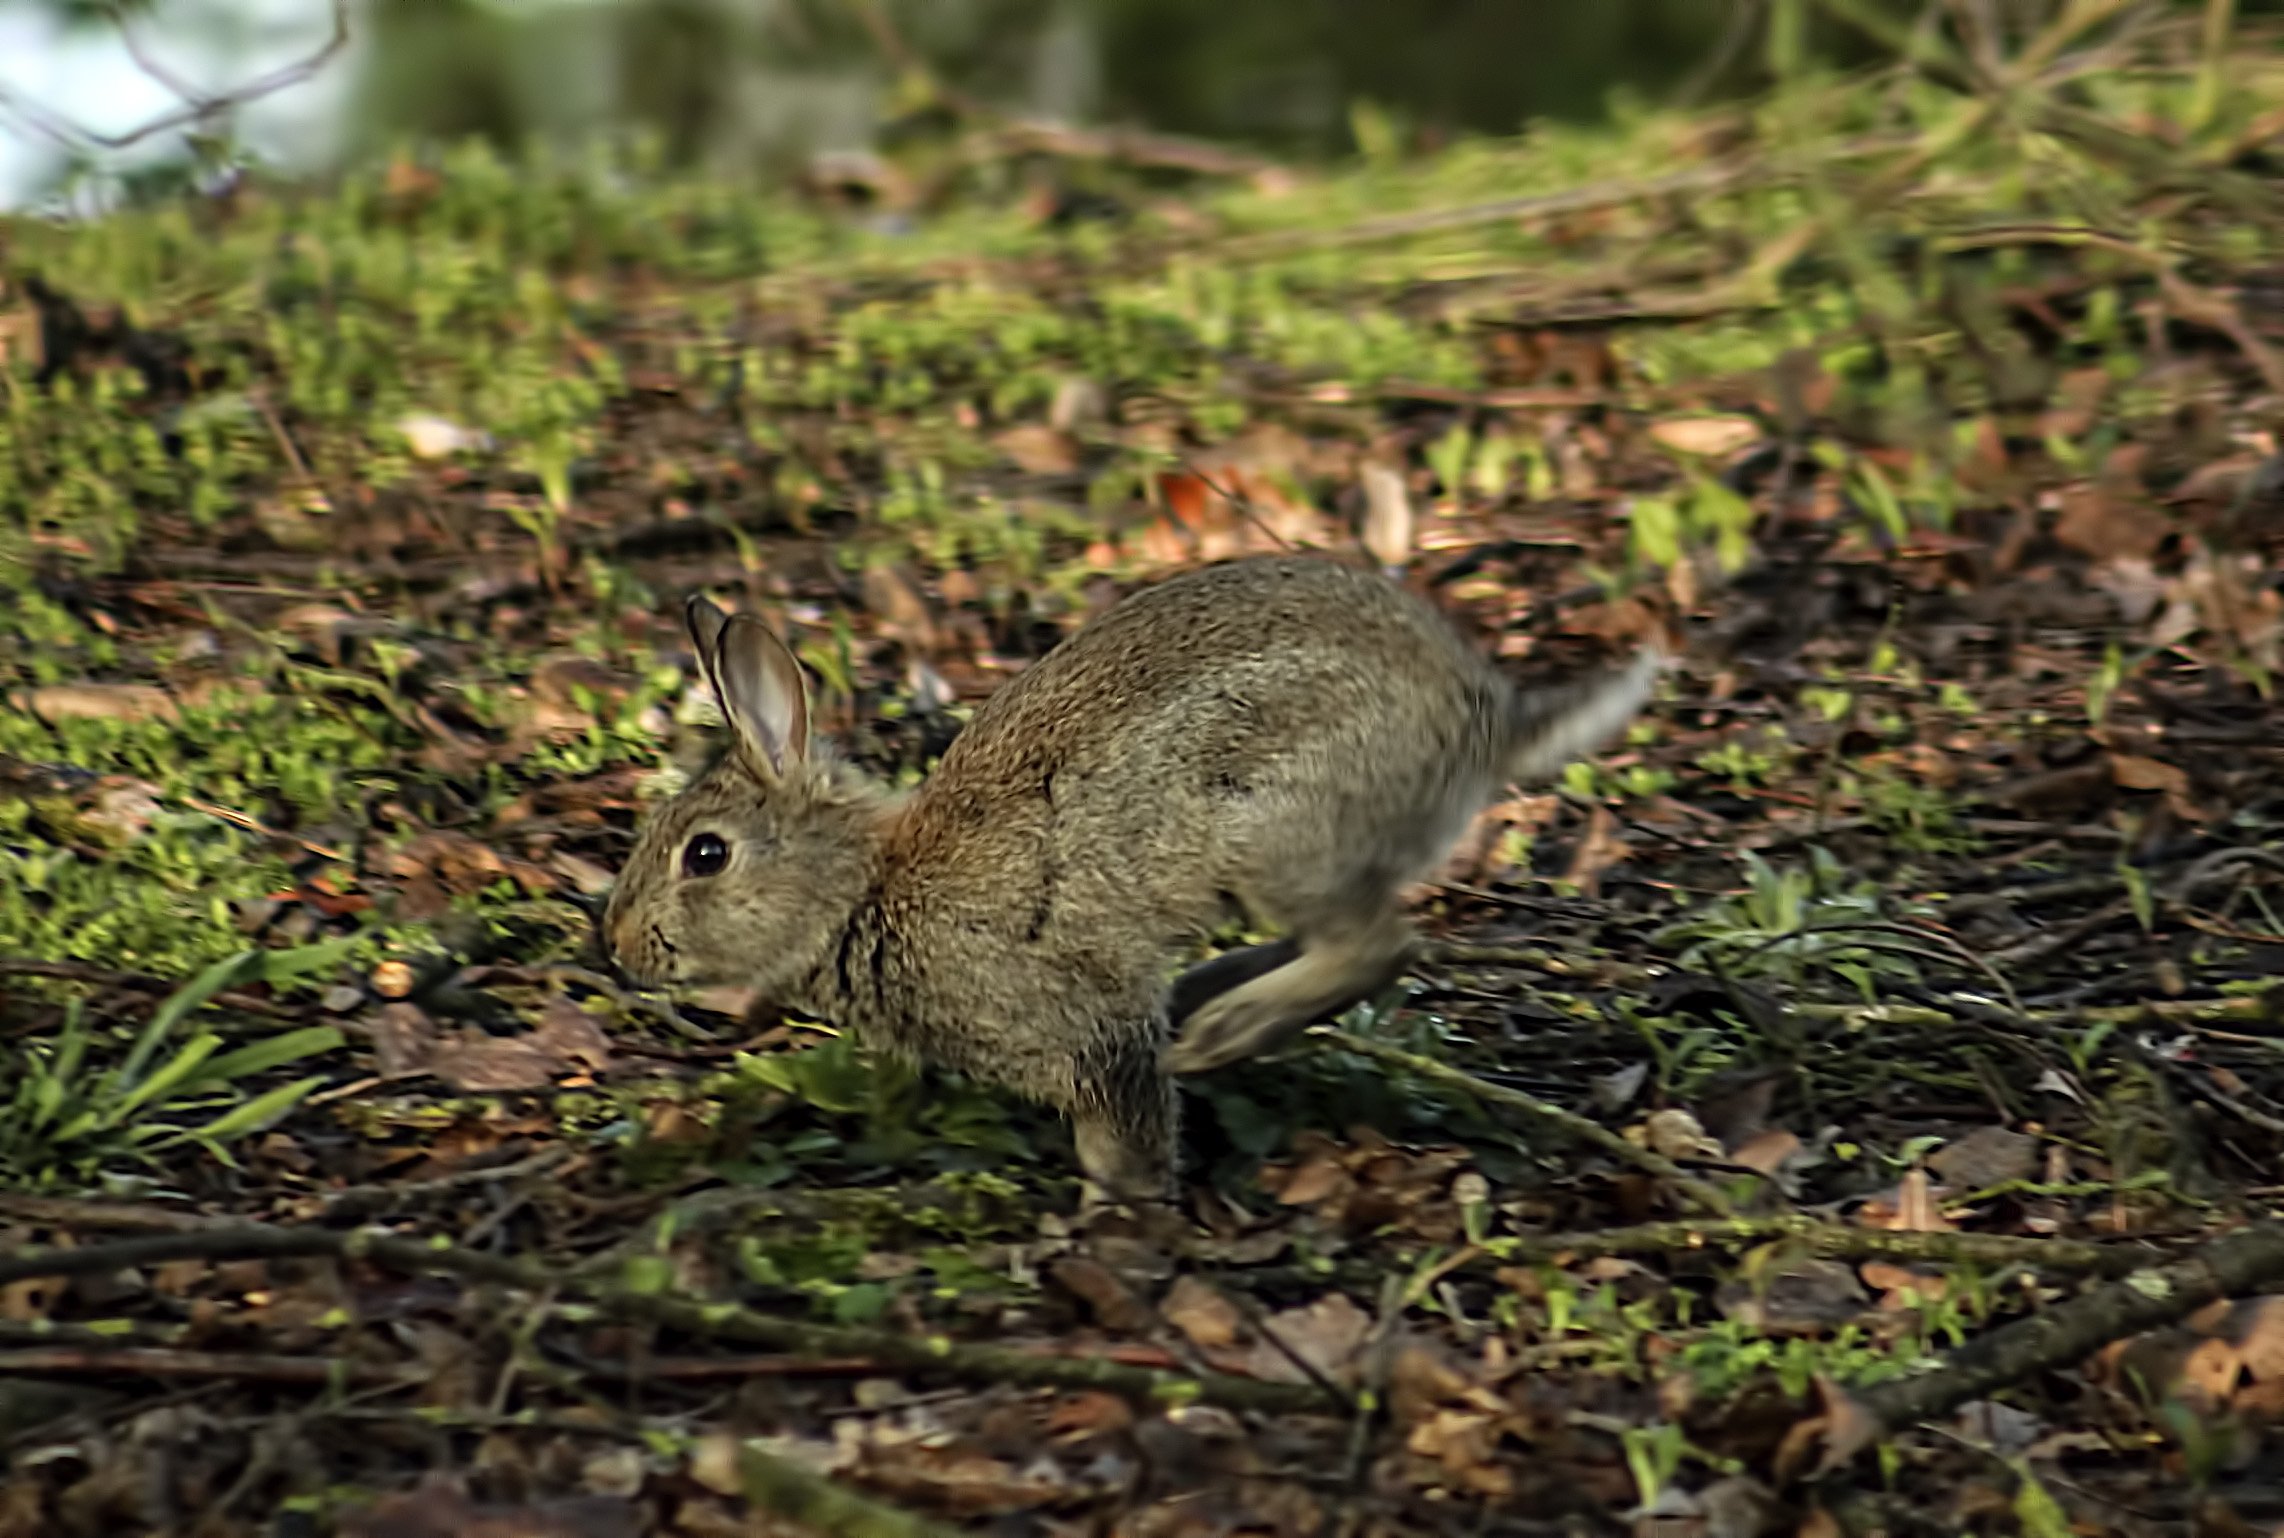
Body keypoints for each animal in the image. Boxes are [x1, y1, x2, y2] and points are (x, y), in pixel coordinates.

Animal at [598, 553, 1653, 1197]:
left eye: (706, 854)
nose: (618, 946)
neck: (865, 884)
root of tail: (1484, 721)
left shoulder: (1082, 1020)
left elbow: (1124, 1120)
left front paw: (1117, 1206)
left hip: (1277, 828)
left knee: (1380, 945)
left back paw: (1223, 1031)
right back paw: (1210, 998)